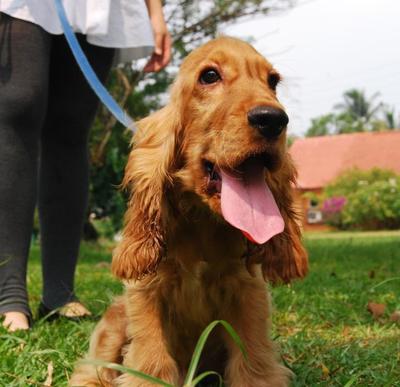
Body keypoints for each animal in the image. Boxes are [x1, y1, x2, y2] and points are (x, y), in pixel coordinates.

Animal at [72, 37, 308, 387]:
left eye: (273, 81)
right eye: (209, 76)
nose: (273, 119)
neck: (202, 222)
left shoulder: (248, 292)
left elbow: (253, 365)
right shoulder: (146, 292)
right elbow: (150, 364)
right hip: (114, 320)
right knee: (94, 366)